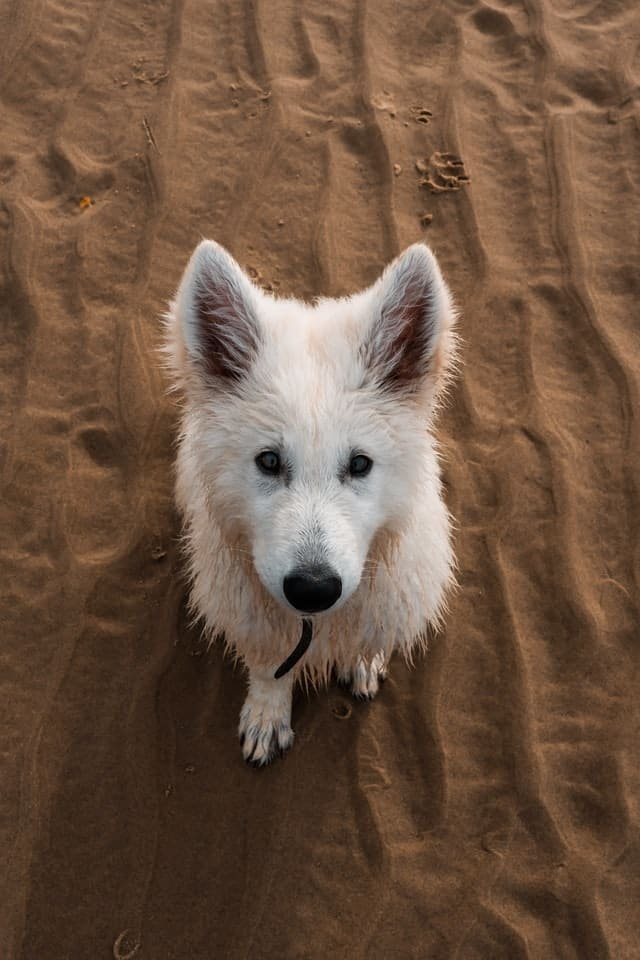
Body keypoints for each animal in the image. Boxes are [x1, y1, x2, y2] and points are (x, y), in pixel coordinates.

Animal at [164, 238, 456, 764]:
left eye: (359, 464)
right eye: (269, 461)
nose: (313, 590)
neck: (315, 625)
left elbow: (368, 639)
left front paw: (363, 662)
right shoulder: (253, 622)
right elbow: (268, 669)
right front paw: (267, 713)